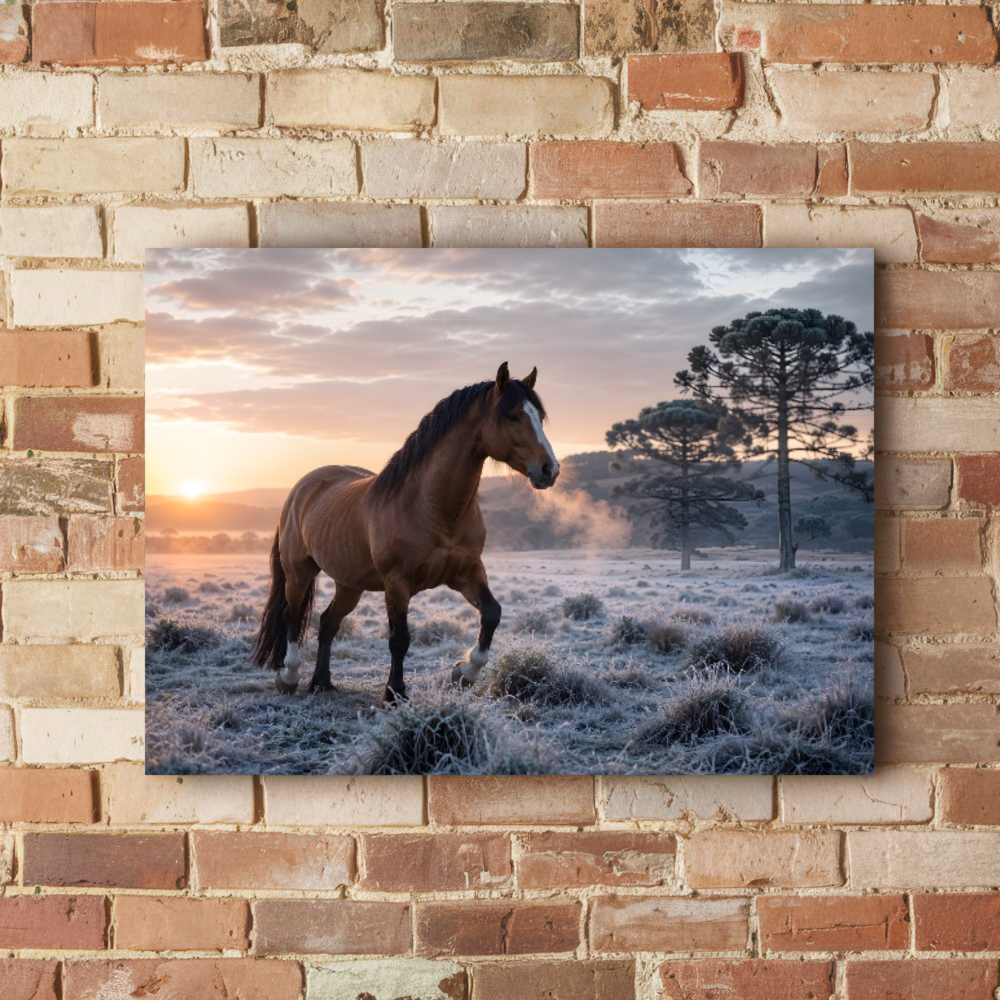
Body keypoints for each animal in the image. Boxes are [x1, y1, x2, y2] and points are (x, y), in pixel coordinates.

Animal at [251, 362, 560, 705]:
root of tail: (303, 487)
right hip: (299, 572)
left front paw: (464, 673)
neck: (434, 508)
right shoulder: (397, 583)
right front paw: (395, 692)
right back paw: (289, 677)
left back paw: (322, 682)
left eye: (539, 416)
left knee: (328, 623)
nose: (549, 469)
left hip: (349, 584)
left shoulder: (467, 572)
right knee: (291, 617)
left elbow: (492, 613)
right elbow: (399, 638)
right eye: (513, 416)